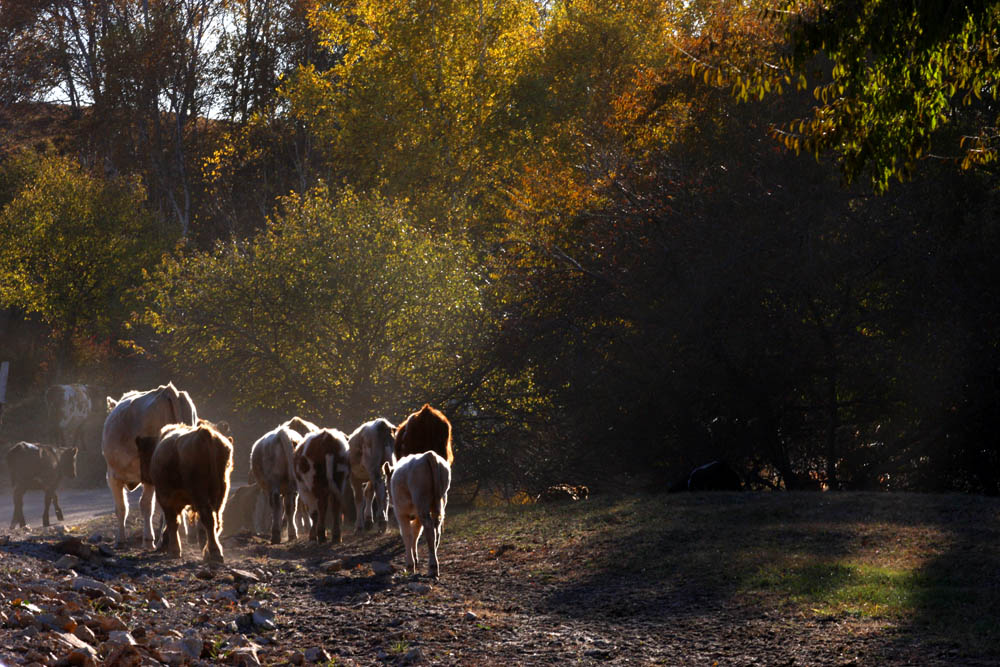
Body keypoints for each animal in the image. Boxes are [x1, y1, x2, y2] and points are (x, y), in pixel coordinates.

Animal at [135, 422, 234, 564]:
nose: (143, 478)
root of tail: (203, 433)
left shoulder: (165, 497)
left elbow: (172, 521)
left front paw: (173, 549)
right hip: (221, 493)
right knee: (214, 521)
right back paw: (210, 552)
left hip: (198, 493)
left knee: (207, 518)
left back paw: (214, 552)